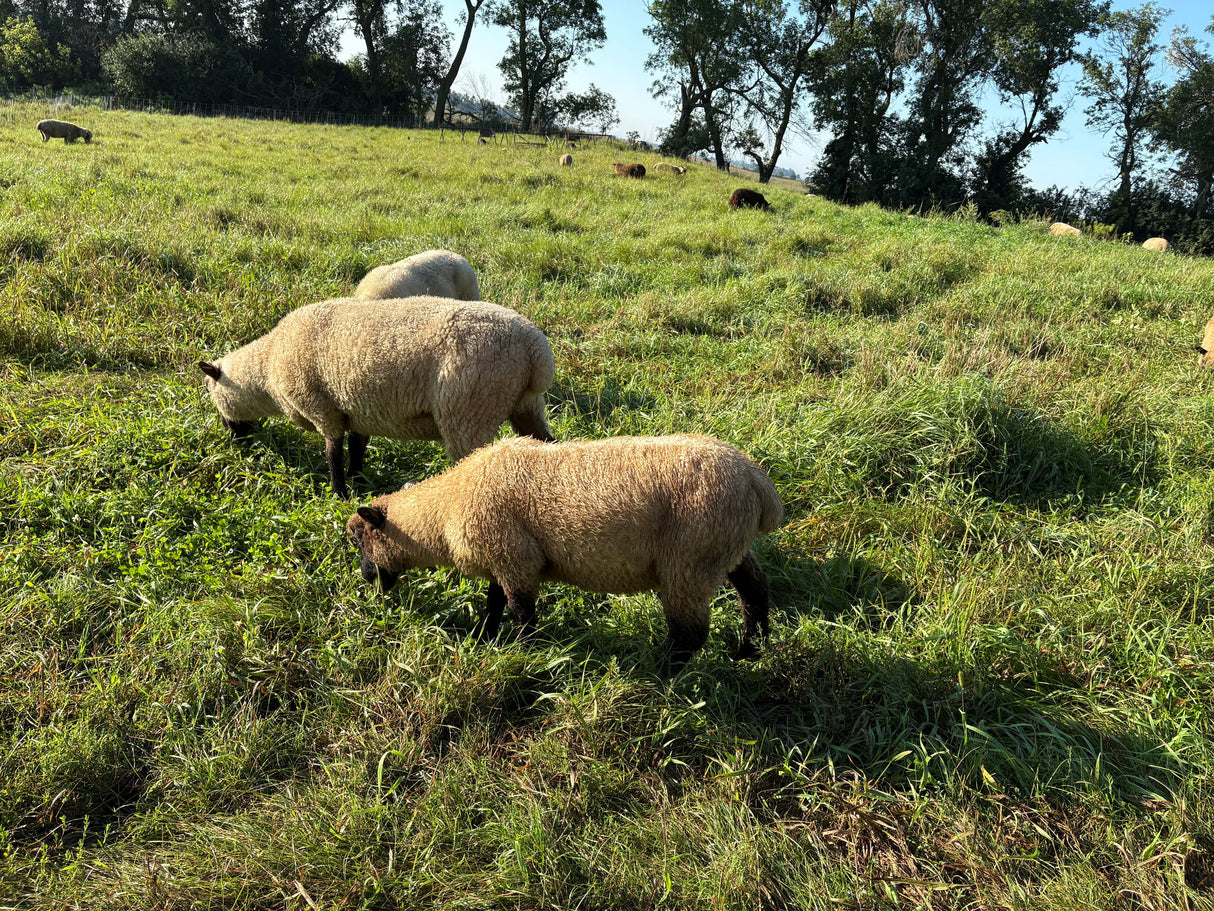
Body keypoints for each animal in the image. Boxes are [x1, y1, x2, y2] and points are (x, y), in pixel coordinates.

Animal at [198, 297, 555, 498]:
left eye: (211, 393)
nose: (235, 439)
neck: (269, 365)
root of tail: (535, 349)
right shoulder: (357, 411)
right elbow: (356, 449)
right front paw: (359, 481)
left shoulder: (323, 409)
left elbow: (333, 454)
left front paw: (339, 494)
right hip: (525, 406)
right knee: (548, 445)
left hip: (469, 412)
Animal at [347, 433, 784, 673]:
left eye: (358, 540)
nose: (368, 581)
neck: (447, 507)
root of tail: (757, 481)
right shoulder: (502, 561)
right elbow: (494, 602)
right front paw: (486, 639)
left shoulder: (516, 560)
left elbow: (521, 614)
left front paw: (524, 654)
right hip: (726, 547)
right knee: (755, 590)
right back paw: (751, 651)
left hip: (689, 561)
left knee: (690, 634)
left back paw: (661, 674)